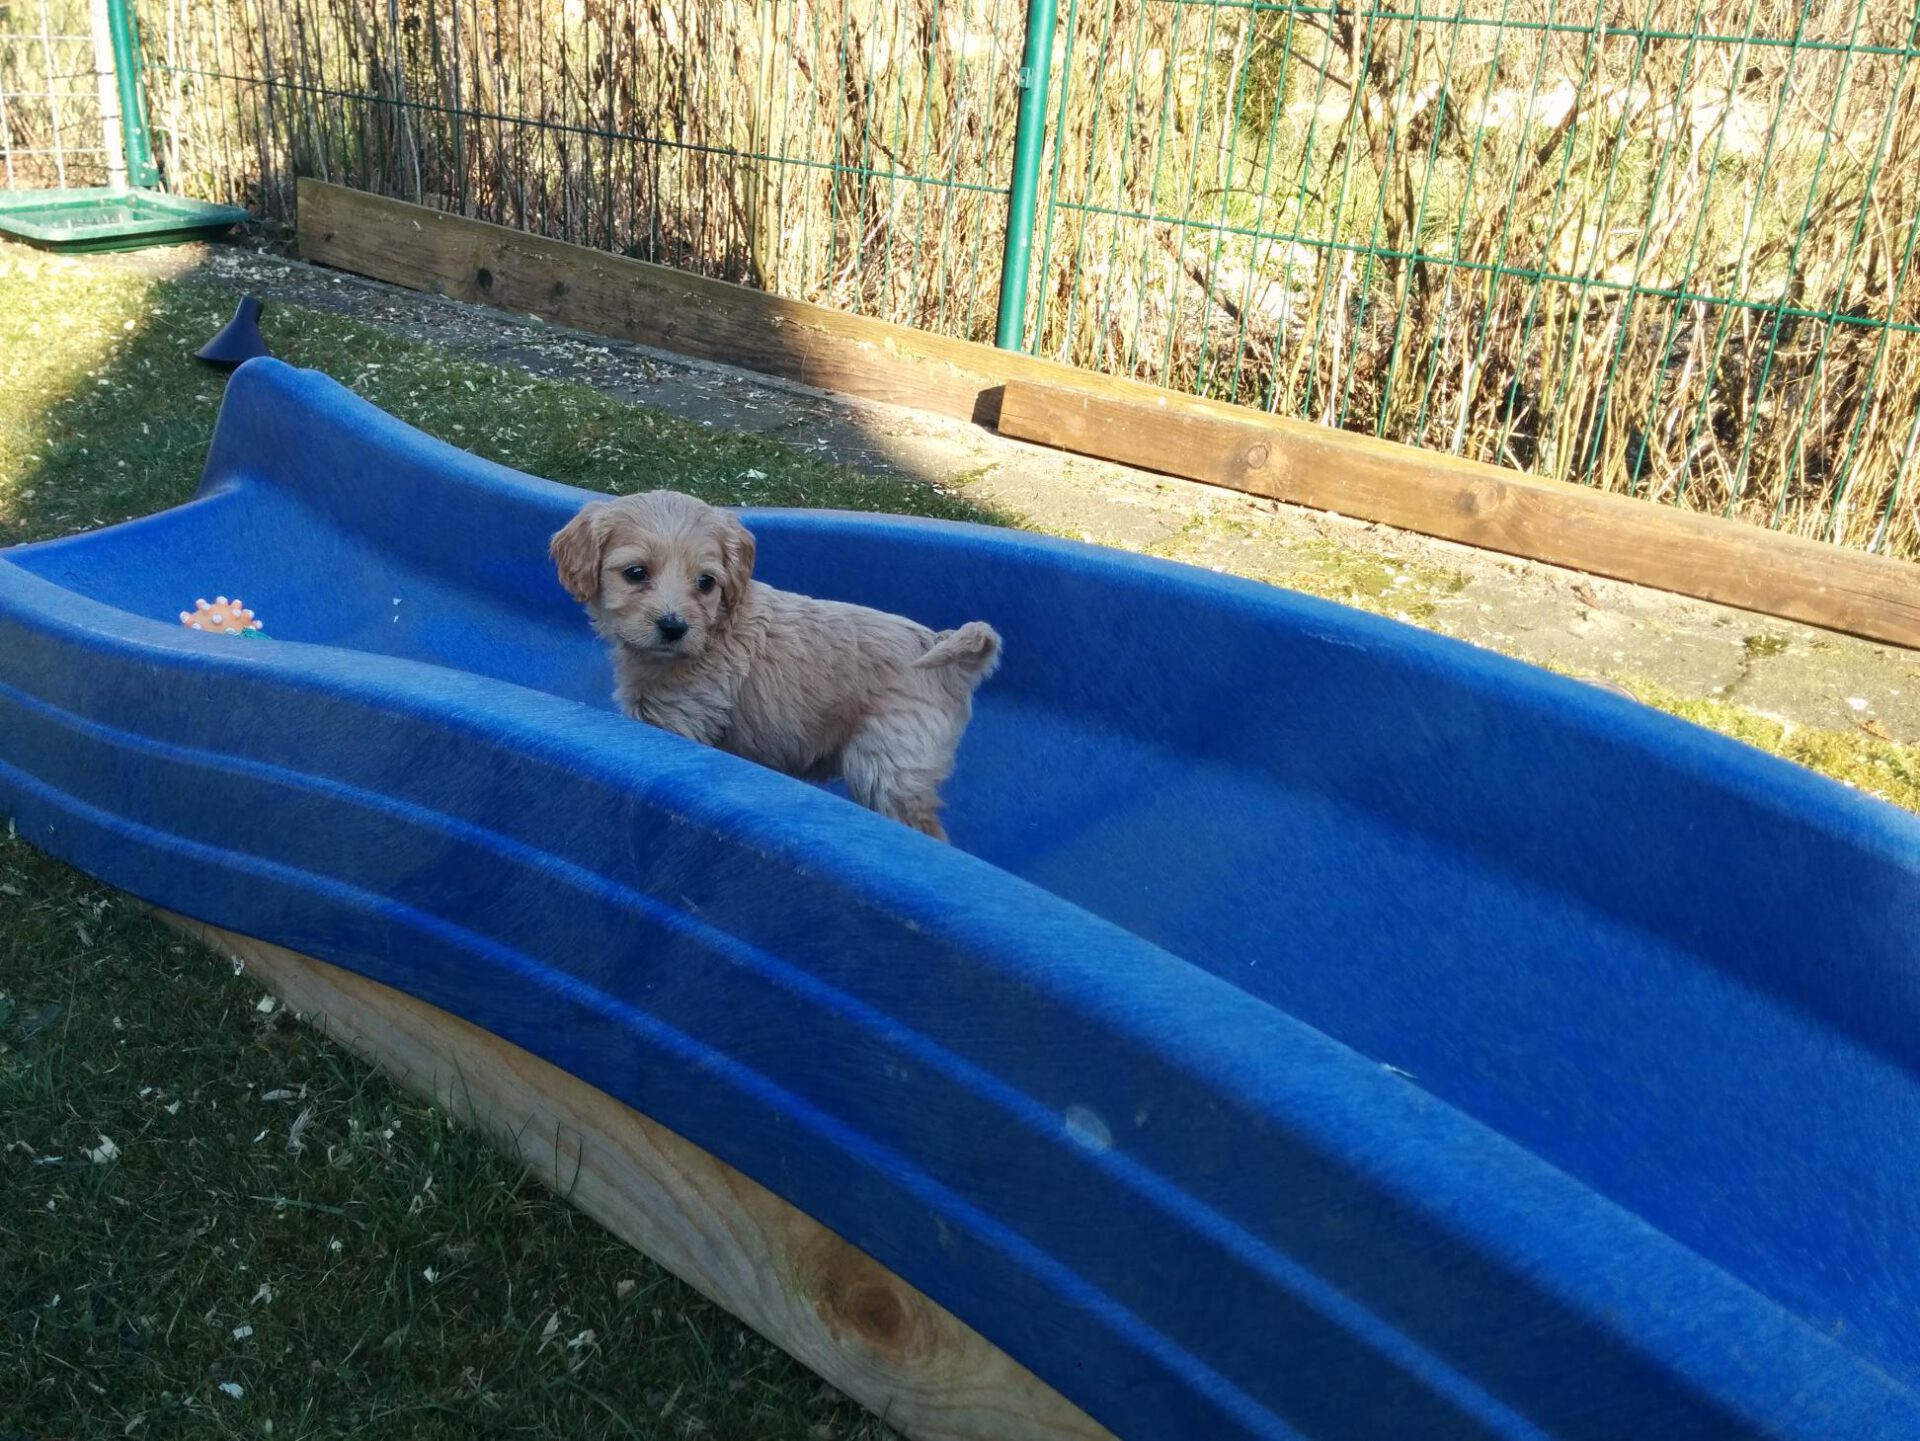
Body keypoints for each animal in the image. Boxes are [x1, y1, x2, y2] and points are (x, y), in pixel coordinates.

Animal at [551, 490, 1001, 841]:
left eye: (706, 582)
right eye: (636, 573)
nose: (674, 627)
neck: (714, 628)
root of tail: (940, 644)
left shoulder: (676, 722)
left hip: (887, 767)